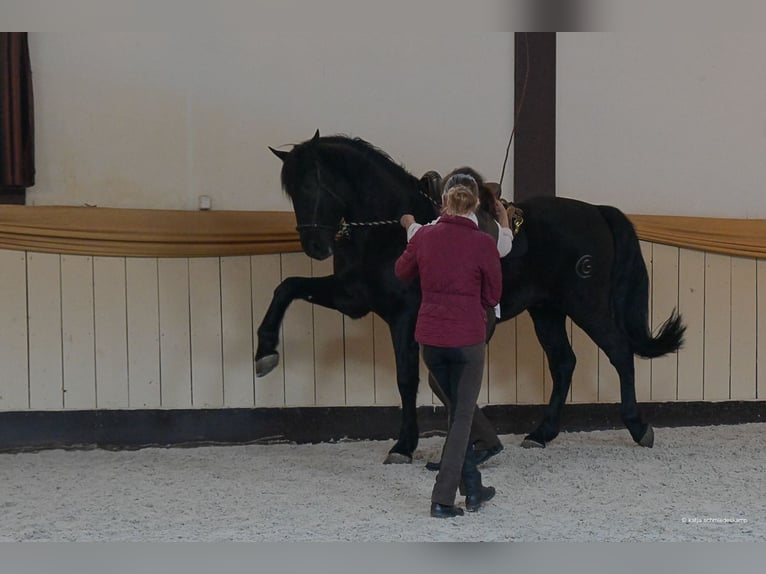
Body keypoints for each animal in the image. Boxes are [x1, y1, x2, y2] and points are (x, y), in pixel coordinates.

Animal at [255, 131, 685, 464]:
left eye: (312, 183)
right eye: (290, 190)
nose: (315, 246)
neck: (389, 228)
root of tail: (597, 211)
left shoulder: (404, 315)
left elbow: (407, 378)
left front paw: (404, 445)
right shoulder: (353, 299)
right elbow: (286, 287)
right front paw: (265, 352)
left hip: (586, 305)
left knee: (619, 352)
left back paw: (639, 427)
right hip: (546, 310)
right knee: (564, 363)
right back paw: (541, 434)